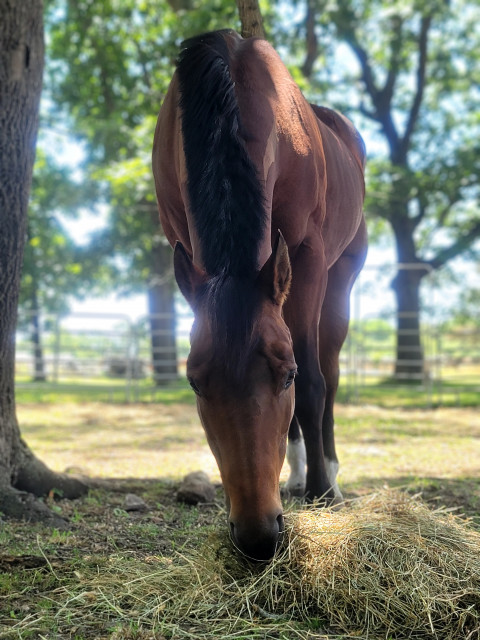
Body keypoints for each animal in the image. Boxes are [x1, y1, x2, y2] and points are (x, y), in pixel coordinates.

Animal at [152, 30, 366, 560]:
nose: (257, 535)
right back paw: (296, 472)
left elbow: (314, 384)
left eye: (286, 376)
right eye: (194, 382)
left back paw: (327, 472)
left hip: (340, 280)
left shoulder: (306, 255)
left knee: (331, 373)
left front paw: (323, 493)